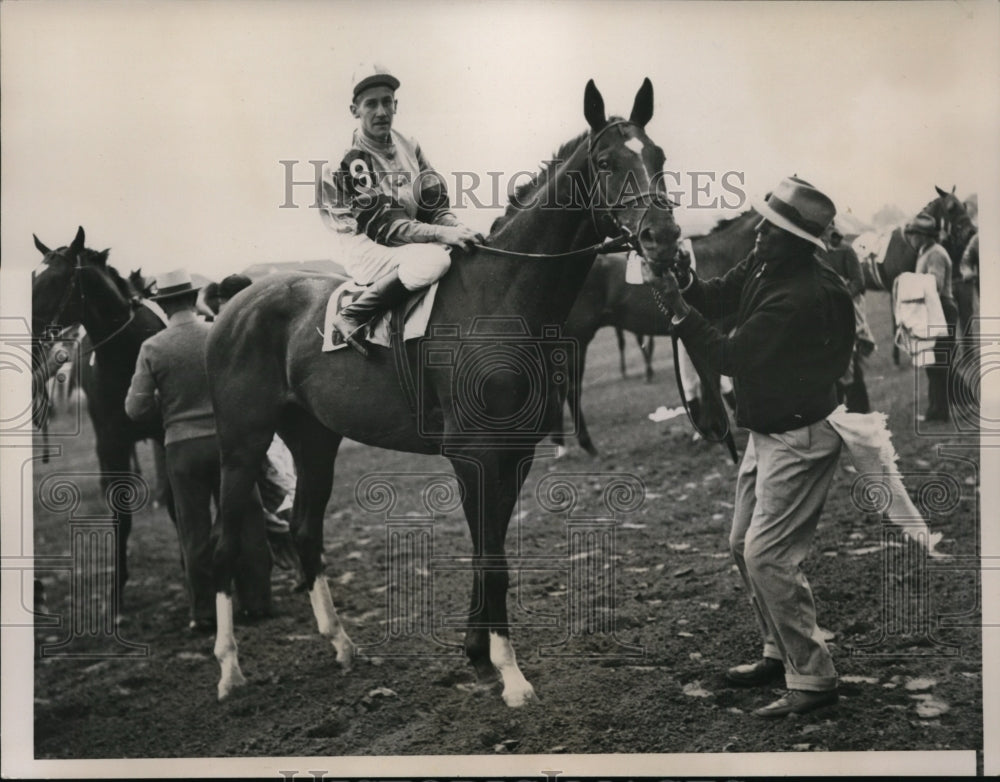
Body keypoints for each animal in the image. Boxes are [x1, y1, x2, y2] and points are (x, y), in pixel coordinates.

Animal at [31, 228, 171, 620]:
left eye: (54, 279)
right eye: (32, 276)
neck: (128, 354)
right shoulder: (112, 441)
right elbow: (120, 515)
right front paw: (117, 593)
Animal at [207, 81, 684, 712]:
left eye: (657, 156)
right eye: (606, 162)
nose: (664, 238)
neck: (501, 299)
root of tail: (236, 302)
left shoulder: (513, 454)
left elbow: (490, 553)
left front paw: (479, 654)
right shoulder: (474, 456)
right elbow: (493, 561)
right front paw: (511, 675)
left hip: (314, 439)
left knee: (306, 530)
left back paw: (342, 646)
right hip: (241, 445)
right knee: (223, 544)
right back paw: (229, 670)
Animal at [548, 211, 756, 456]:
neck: (720, 255)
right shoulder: (713, 330)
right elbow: (709, 383)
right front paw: (715, 432)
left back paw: (561, 443)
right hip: (578, 338)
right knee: (571, 388)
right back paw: (584, 444)